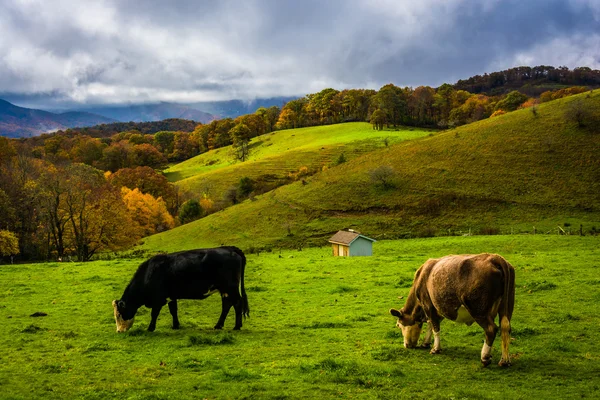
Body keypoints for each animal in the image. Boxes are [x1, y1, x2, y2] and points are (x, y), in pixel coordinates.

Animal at [112, 245, 248, 332]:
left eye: (118, 314)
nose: (119, 331)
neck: (148, 274)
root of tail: (229, 248)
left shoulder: (158, 299)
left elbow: (154, 314)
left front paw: (150, 328)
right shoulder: (171, 296)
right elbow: (173, 310)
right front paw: (176, 325)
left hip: (230, 287)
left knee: (237, 303)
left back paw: (237, 326)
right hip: (224, 289)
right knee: (227, 305)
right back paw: (218, 326)